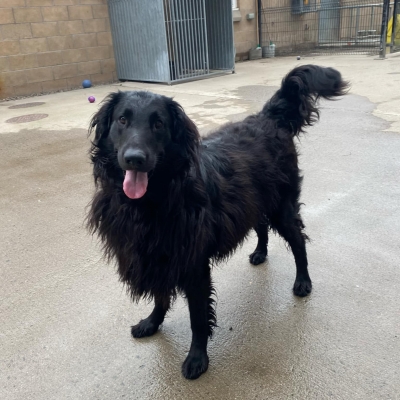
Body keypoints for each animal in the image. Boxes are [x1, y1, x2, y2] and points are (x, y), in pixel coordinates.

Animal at [86, 65, 346, 378]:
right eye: (122, 119)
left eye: (159, 124)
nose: (134, 159)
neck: (154, 200)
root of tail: (267, 117)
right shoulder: (157, 255)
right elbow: (160, 297)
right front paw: (152, 322)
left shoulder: (193, 264)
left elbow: (198, 318)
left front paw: (197, 358)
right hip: (253, 202)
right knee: (261, 226)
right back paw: (260, 253)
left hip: (282, 207)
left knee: (298, 242)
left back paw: (303, 281)